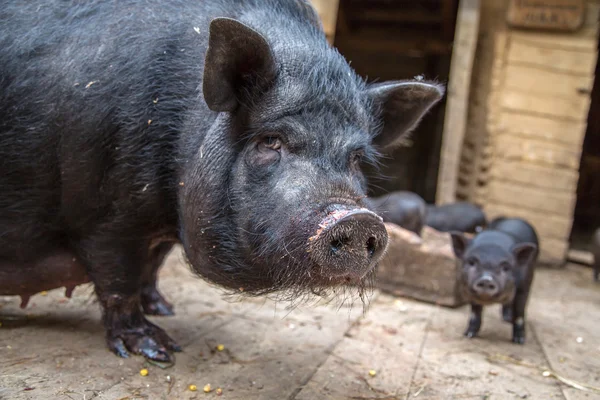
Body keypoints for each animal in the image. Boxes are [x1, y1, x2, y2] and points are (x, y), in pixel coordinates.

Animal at [0, 0, 440, 362]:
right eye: (271, 140)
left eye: (356, 158)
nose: (357, 218)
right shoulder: (106, 216)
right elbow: (119, 280)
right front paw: (160, 350)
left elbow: (152, 265)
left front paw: (165, 308)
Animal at [450, 217, 540, 346]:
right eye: (471, 262)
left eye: (506, 267)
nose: (486, 279)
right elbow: (475, 312)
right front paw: (468, 335)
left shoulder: (524, 286)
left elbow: (519, 313)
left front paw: (519, 342)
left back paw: (507, 320)